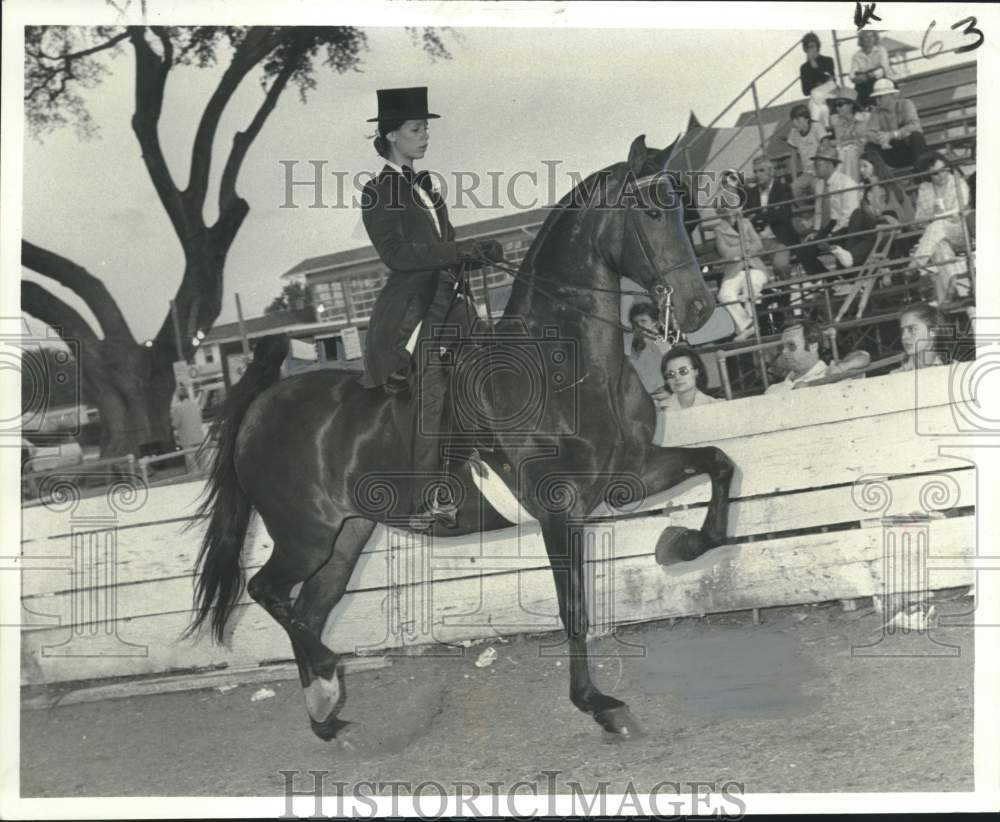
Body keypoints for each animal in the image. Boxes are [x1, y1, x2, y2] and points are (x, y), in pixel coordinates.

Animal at [188, 134, 736, 740]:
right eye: (652, 212)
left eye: (684, 209)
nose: (700, 308)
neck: (566, 364)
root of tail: (262, 404)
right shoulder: (558, 507)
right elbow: (573, 607)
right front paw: (596, 703)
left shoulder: (631, 472)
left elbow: (719, 462)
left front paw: (681, 544)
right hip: (304, 534)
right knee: (266, 592)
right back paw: (329, 678)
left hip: (344, 535)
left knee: (308, 607)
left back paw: (326, 712)